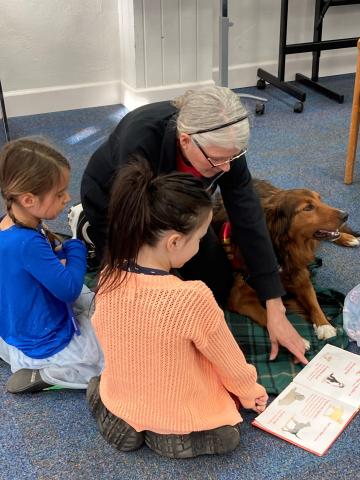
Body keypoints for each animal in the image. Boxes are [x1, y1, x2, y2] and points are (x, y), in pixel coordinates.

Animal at [214, 180, 358, 342]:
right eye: (308, 207)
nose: (346, 215)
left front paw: (324, 325)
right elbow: (267, 316)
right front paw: (292, 338)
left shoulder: (300, 275)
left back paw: (349, 238)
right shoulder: (240, 297)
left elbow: (314, 303)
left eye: (320, 199)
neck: (281, 246)